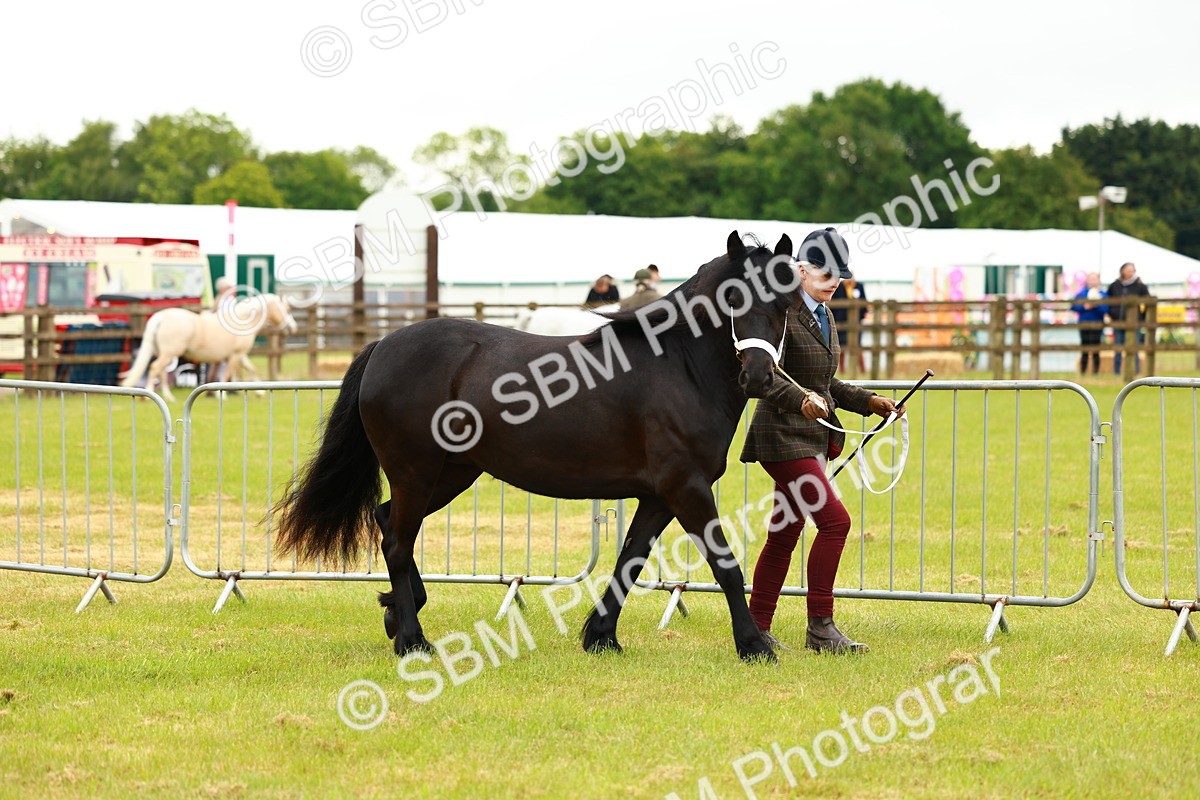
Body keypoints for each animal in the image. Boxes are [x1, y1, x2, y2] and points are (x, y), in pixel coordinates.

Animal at [120, 293, 297, 401]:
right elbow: (226, 375)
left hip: (165, 354)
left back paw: (168, 397)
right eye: (286, 310)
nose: (292, 328)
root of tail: (161, 316)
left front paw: (260, 392)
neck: (242, 321)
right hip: (169, 353)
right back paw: (147, 395)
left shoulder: (240, 356)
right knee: (155, 368)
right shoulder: (235, 355)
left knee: (161, 372)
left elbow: (251, 369)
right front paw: (222, 396)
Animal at [273, 232, 799, 662]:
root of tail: (383, 346)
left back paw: (396, 614)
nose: (757, 376)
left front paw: (601, 637)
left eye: (784, 304)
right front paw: (754, 645)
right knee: (398, 541)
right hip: (416, 470)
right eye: (733, 298)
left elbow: (629, 559)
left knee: (387, 522)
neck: (678, 366)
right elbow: (725, 565)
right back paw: (412, 640)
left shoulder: (658, 496)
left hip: (451, 472)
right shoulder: (686, 488)